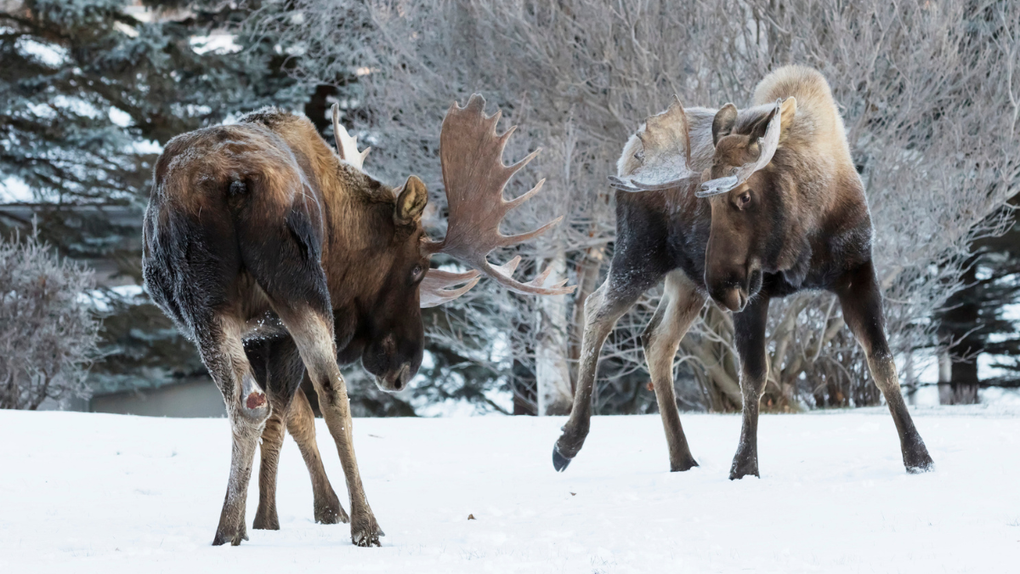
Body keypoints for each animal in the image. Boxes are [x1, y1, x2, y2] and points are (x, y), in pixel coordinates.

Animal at [142, 94, 570, 547]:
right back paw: (360, 524)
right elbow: (291, 417)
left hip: (220, 300)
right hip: (282, 291)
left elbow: (289, 416)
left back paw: (237, 528)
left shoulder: (261, 336)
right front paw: (287, 515)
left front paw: (277, 517)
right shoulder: (271, 334)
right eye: (417, 269)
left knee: (271, 400)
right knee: (322, 395)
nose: (404, 368)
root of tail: (236, 183)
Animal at [551, 66, 934, 480]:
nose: (722, 287)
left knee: (656, 340)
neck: (807, 230)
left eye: (745, 195)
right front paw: (744, 466)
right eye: (707, 200)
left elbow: (883, 364)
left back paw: (682, 458)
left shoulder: (856, 273)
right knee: (596, 309)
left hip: (687, 281)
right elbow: (752, 377)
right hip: (640, 254)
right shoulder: (755, 293)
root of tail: (626, 156)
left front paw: (919, 457)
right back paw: (568, 442)